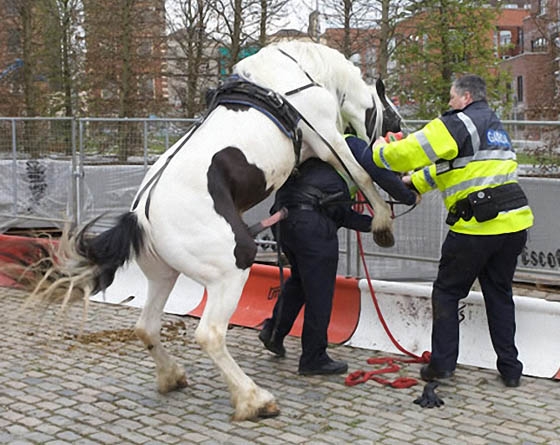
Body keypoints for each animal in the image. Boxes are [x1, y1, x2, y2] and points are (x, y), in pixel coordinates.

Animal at [9, 40, 402, 418]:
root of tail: (140, 217)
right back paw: (253, 400)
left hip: (164, 276)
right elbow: (362, 174)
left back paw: (172, 376)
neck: (296, 73)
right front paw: (383, 222)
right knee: (210, 335)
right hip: (231, 272)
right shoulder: (328, 141)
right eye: (392, 113)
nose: (400, 132)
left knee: (146, 326)